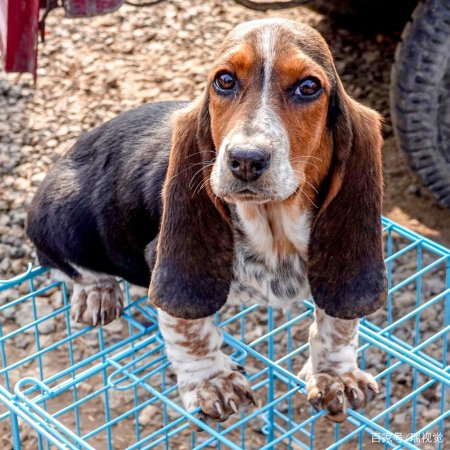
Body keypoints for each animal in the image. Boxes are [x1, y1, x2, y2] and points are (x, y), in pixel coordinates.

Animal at [27, 18, 386, 426]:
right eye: (224, 80)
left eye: (309, 87)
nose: (245, 159)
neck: (272, 228)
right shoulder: (162, 263)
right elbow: (189, 328)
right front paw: (212, 382)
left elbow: (338, 321)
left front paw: (336, 375)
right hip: (62, 214)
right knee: (60, 262)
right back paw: (97, 292)